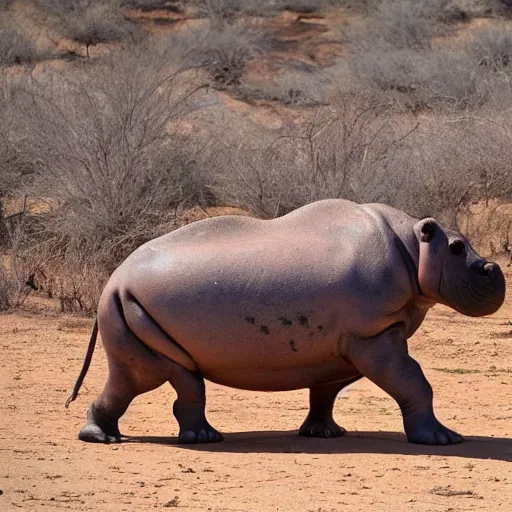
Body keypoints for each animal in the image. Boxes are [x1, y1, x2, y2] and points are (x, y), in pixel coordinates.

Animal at [67, 200, 504, 444]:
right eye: (456, 248)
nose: (495, 271)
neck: (413, 245)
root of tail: (114, 279)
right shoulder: (372, 332)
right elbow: (413, 379)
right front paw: (444, 440)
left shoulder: (341, 343)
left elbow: (327, 390)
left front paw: (324, 433)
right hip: (131, 305)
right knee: (152, 376)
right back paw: (185, 440)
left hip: (128, 305)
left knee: (142, 376)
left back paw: (110, 437)